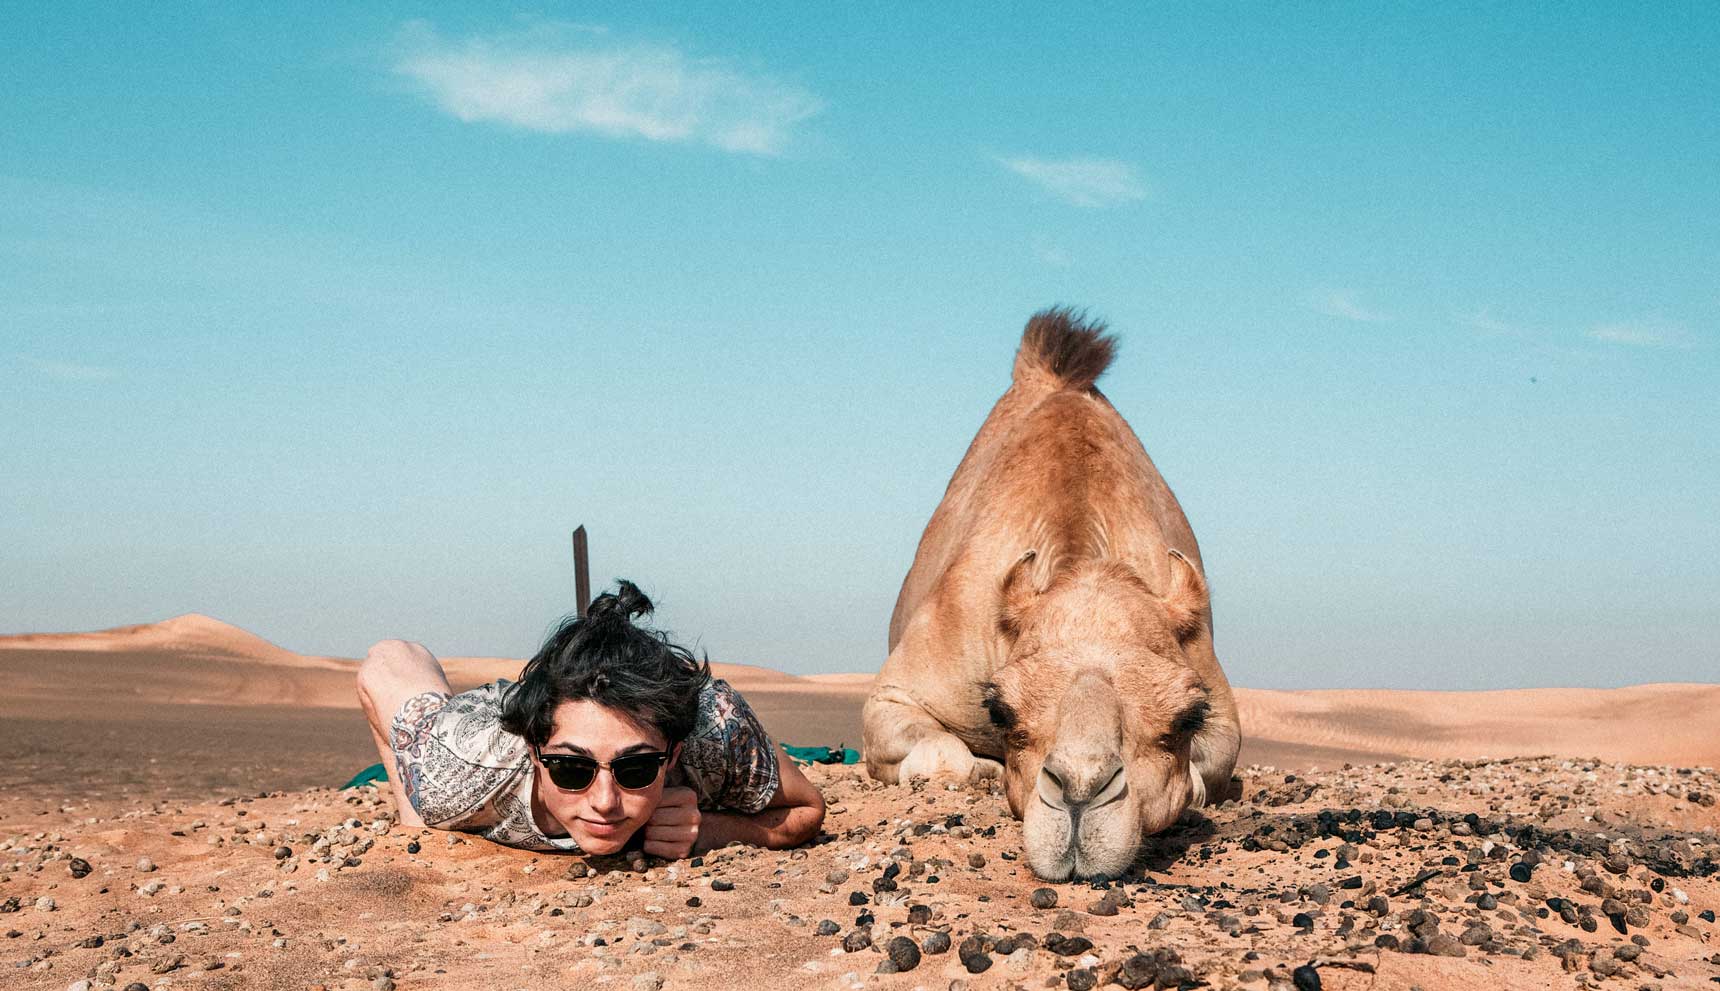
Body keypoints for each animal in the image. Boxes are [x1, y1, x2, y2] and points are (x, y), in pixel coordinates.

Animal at [863, 308, 1241, 881]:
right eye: (1000, 710)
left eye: (1188, 717)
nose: (1080, 795)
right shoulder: (899, 691)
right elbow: (947, 760)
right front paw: (981, 770)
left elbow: (1201, 778)